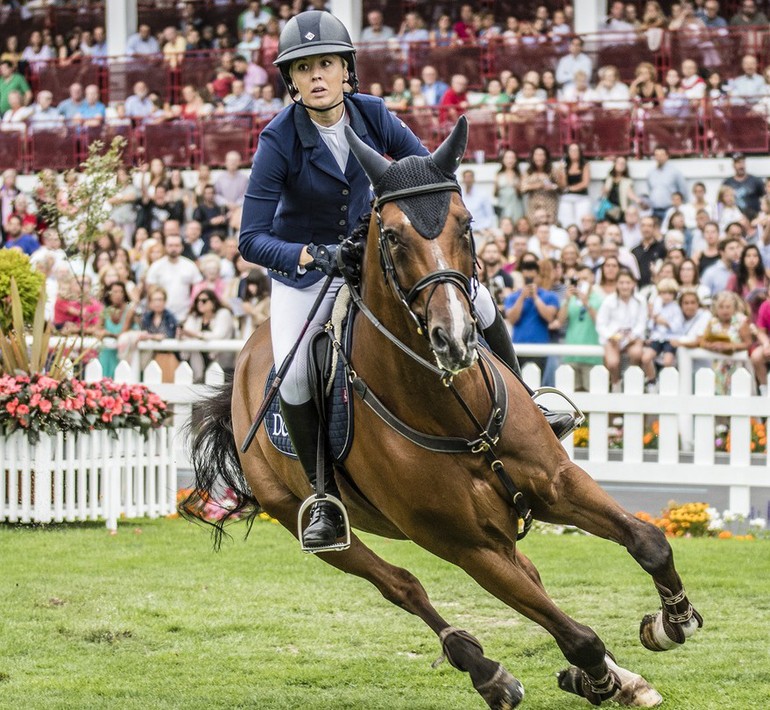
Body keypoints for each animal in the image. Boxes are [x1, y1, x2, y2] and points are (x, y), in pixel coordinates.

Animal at [183, 119, 700, 708]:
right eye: (391, 236)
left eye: (467, 224)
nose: (453, 339)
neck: (456, 412)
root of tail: (244, 362)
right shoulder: (467, 545)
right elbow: (577, 635)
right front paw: (597, 676)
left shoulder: (557, 484)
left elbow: (648, 542)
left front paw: (671, 623)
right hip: (305, 518)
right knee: (401, 585)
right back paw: (486, 671)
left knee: (528, 573)